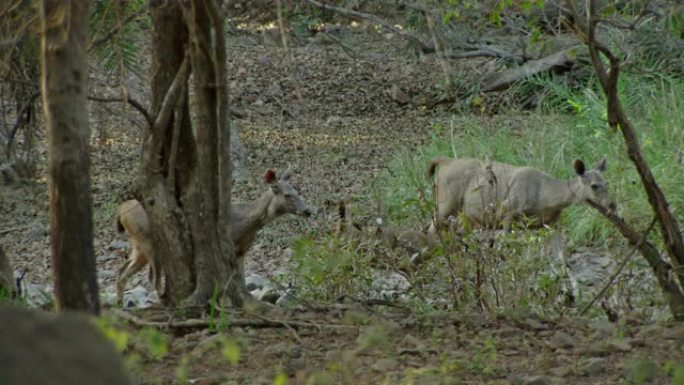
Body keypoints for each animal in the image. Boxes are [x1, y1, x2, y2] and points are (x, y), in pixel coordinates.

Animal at [115, 168, 312, 304]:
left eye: (297, 191)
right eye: (287, 195)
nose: (308, 211)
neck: (244, 225)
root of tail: (121, 211)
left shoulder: (241, 249)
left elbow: (241, 277)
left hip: (138, 247)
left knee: (122, 271)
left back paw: (119, 304)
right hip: (148, 240)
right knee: (151, 279)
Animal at [428, 156, 616, 231]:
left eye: (607, 183)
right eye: (594, 186)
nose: (613, 204)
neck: (544, 199)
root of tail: (443, 162)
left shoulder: (537, 224)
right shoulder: (508, 209)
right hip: (446, 203)